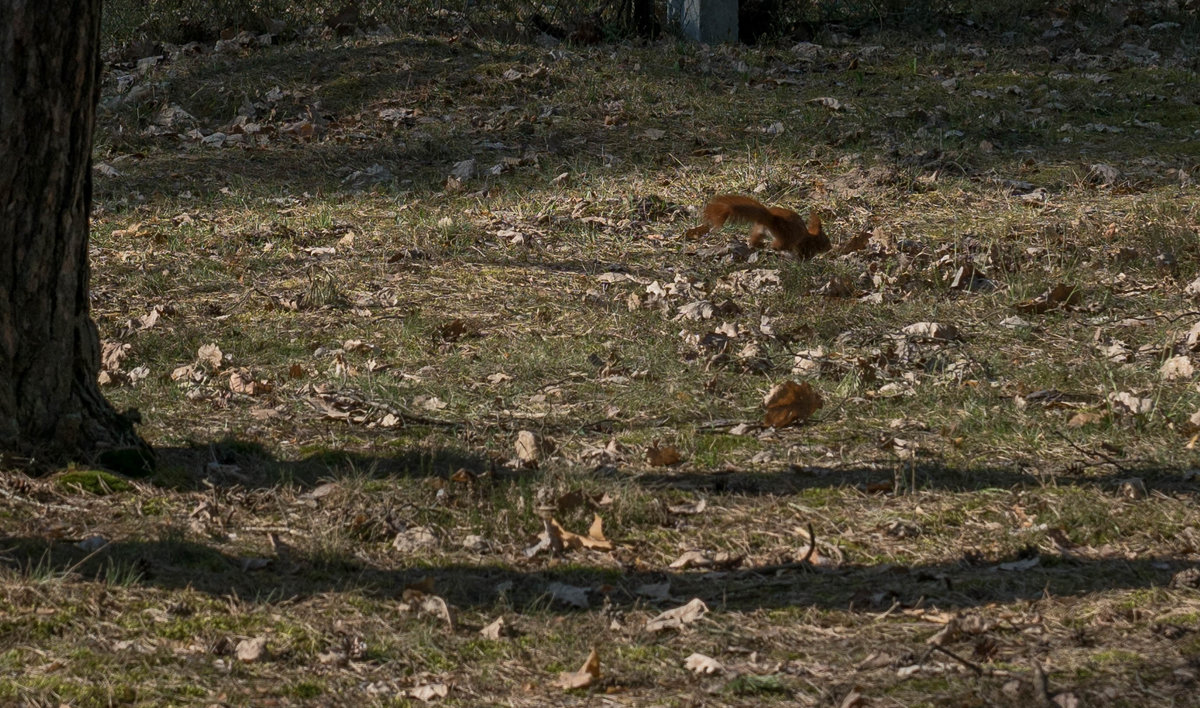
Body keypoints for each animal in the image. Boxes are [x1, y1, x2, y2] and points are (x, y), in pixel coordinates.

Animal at [691, 195, 830, 259]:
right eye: (826, 241)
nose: (830, 248)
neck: (811, 237)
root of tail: (771, 218)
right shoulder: (805, 246)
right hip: (786, 236)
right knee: (777, 245)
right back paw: (772, 248)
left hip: (760, 230)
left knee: (754, 239)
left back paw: (758, 245)